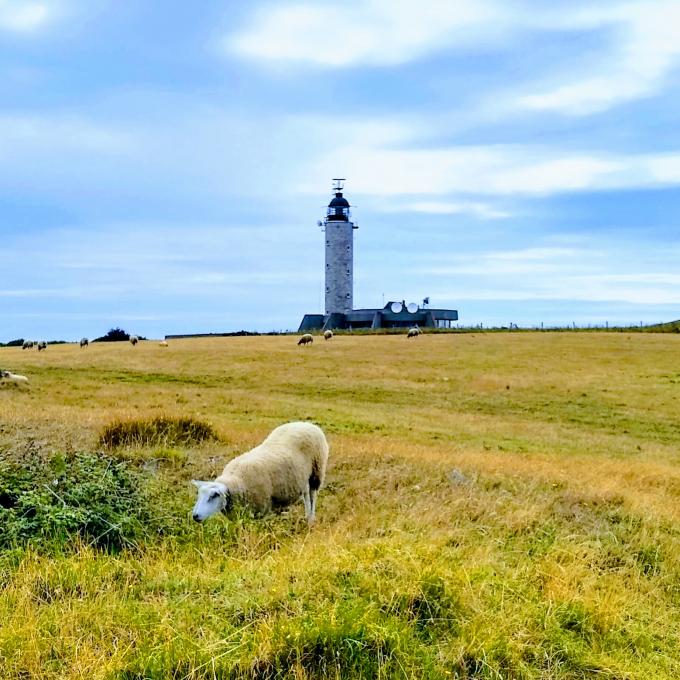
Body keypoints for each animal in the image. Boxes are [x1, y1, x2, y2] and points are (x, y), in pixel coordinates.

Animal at [191, 420, 330, 524]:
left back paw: (311, 519)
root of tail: (306, 423)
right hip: (303, 476)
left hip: (316, 473)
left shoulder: (261, 508)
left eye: (213, 496)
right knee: (306, 494)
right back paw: (306, 516)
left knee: (312, 495)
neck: (236, 480)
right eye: (199, 495)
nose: (195, 516)